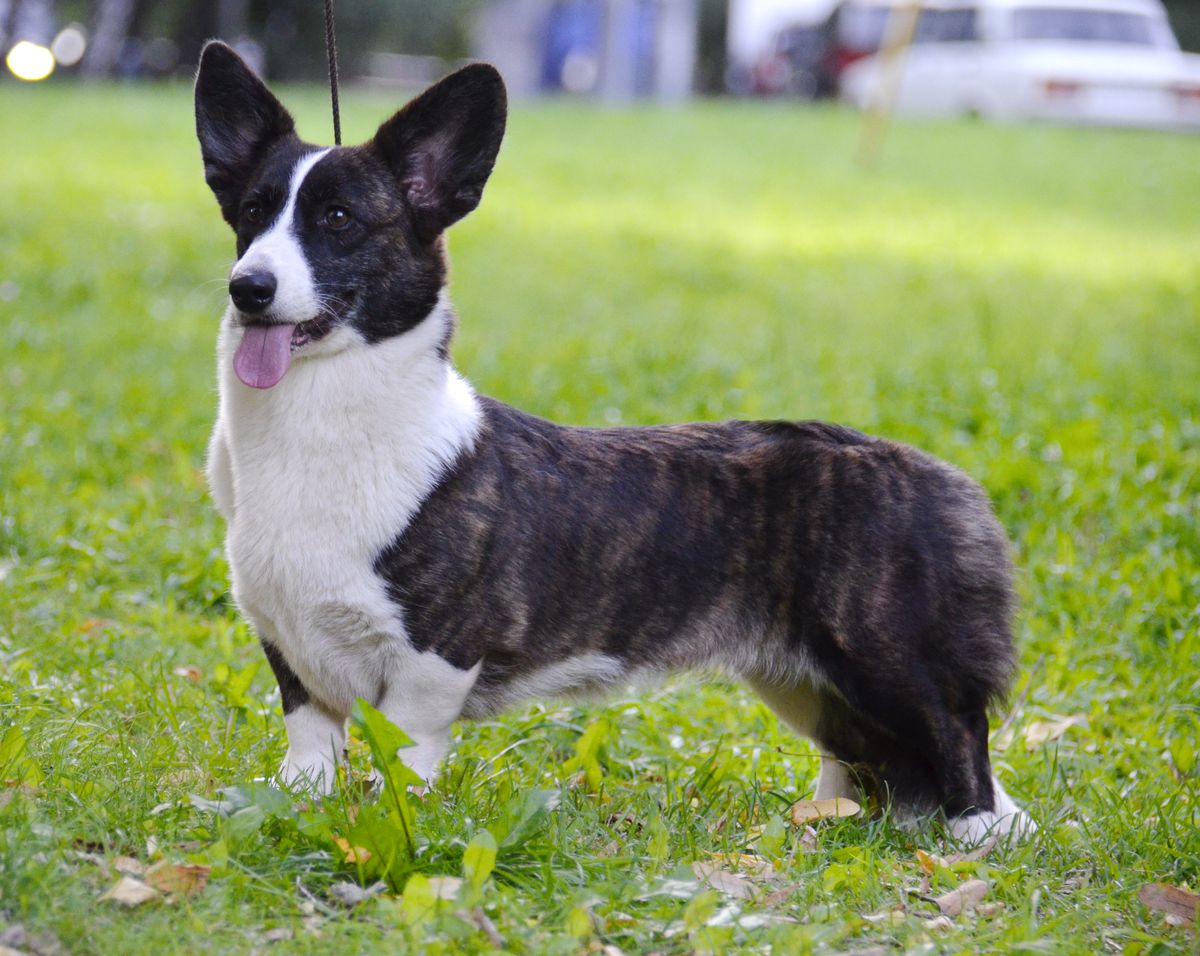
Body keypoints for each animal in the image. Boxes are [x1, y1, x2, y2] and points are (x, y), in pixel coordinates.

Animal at [194, 41, 1032, 839]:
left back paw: (978, 833)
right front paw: (297, 808)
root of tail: (945, 477)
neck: (316, 424)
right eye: (251, 211)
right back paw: (831, 820)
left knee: (958, 735)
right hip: (804, 677)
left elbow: (402, 759)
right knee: (861, 753)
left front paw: (385, 821)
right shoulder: (291, 652)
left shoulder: (434, 661)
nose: (247, 288)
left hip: (888, 657)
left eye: (339, 220)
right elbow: (309, 748)